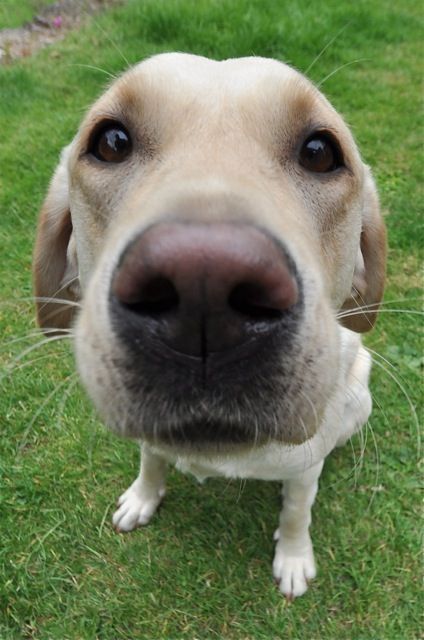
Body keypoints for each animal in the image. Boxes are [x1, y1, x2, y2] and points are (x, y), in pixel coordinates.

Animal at [32, 52, 384, 596]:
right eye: (111, 142)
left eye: (320, 152)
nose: (203, 288)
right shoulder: (150, 439)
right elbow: (151, 458)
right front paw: (143, 497)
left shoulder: (304, 469)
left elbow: (297, 511)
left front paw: (293, 556)